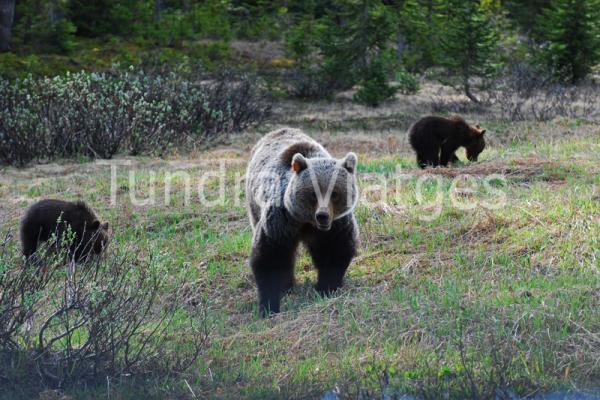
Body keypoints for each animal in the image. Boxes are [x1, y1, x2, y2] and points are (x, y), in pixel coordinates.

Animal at [246, 128, 358, 316]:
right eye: (313, 193)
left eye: (334, 193)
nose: (322, 215)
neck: (306, 222)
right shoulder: (281, 221)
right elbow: (269, 256)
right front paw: (269, 306)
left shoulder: (336, 225)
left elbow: (336, 250)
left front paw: (326, 288)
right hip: (254, 205)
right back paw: (287, 285)